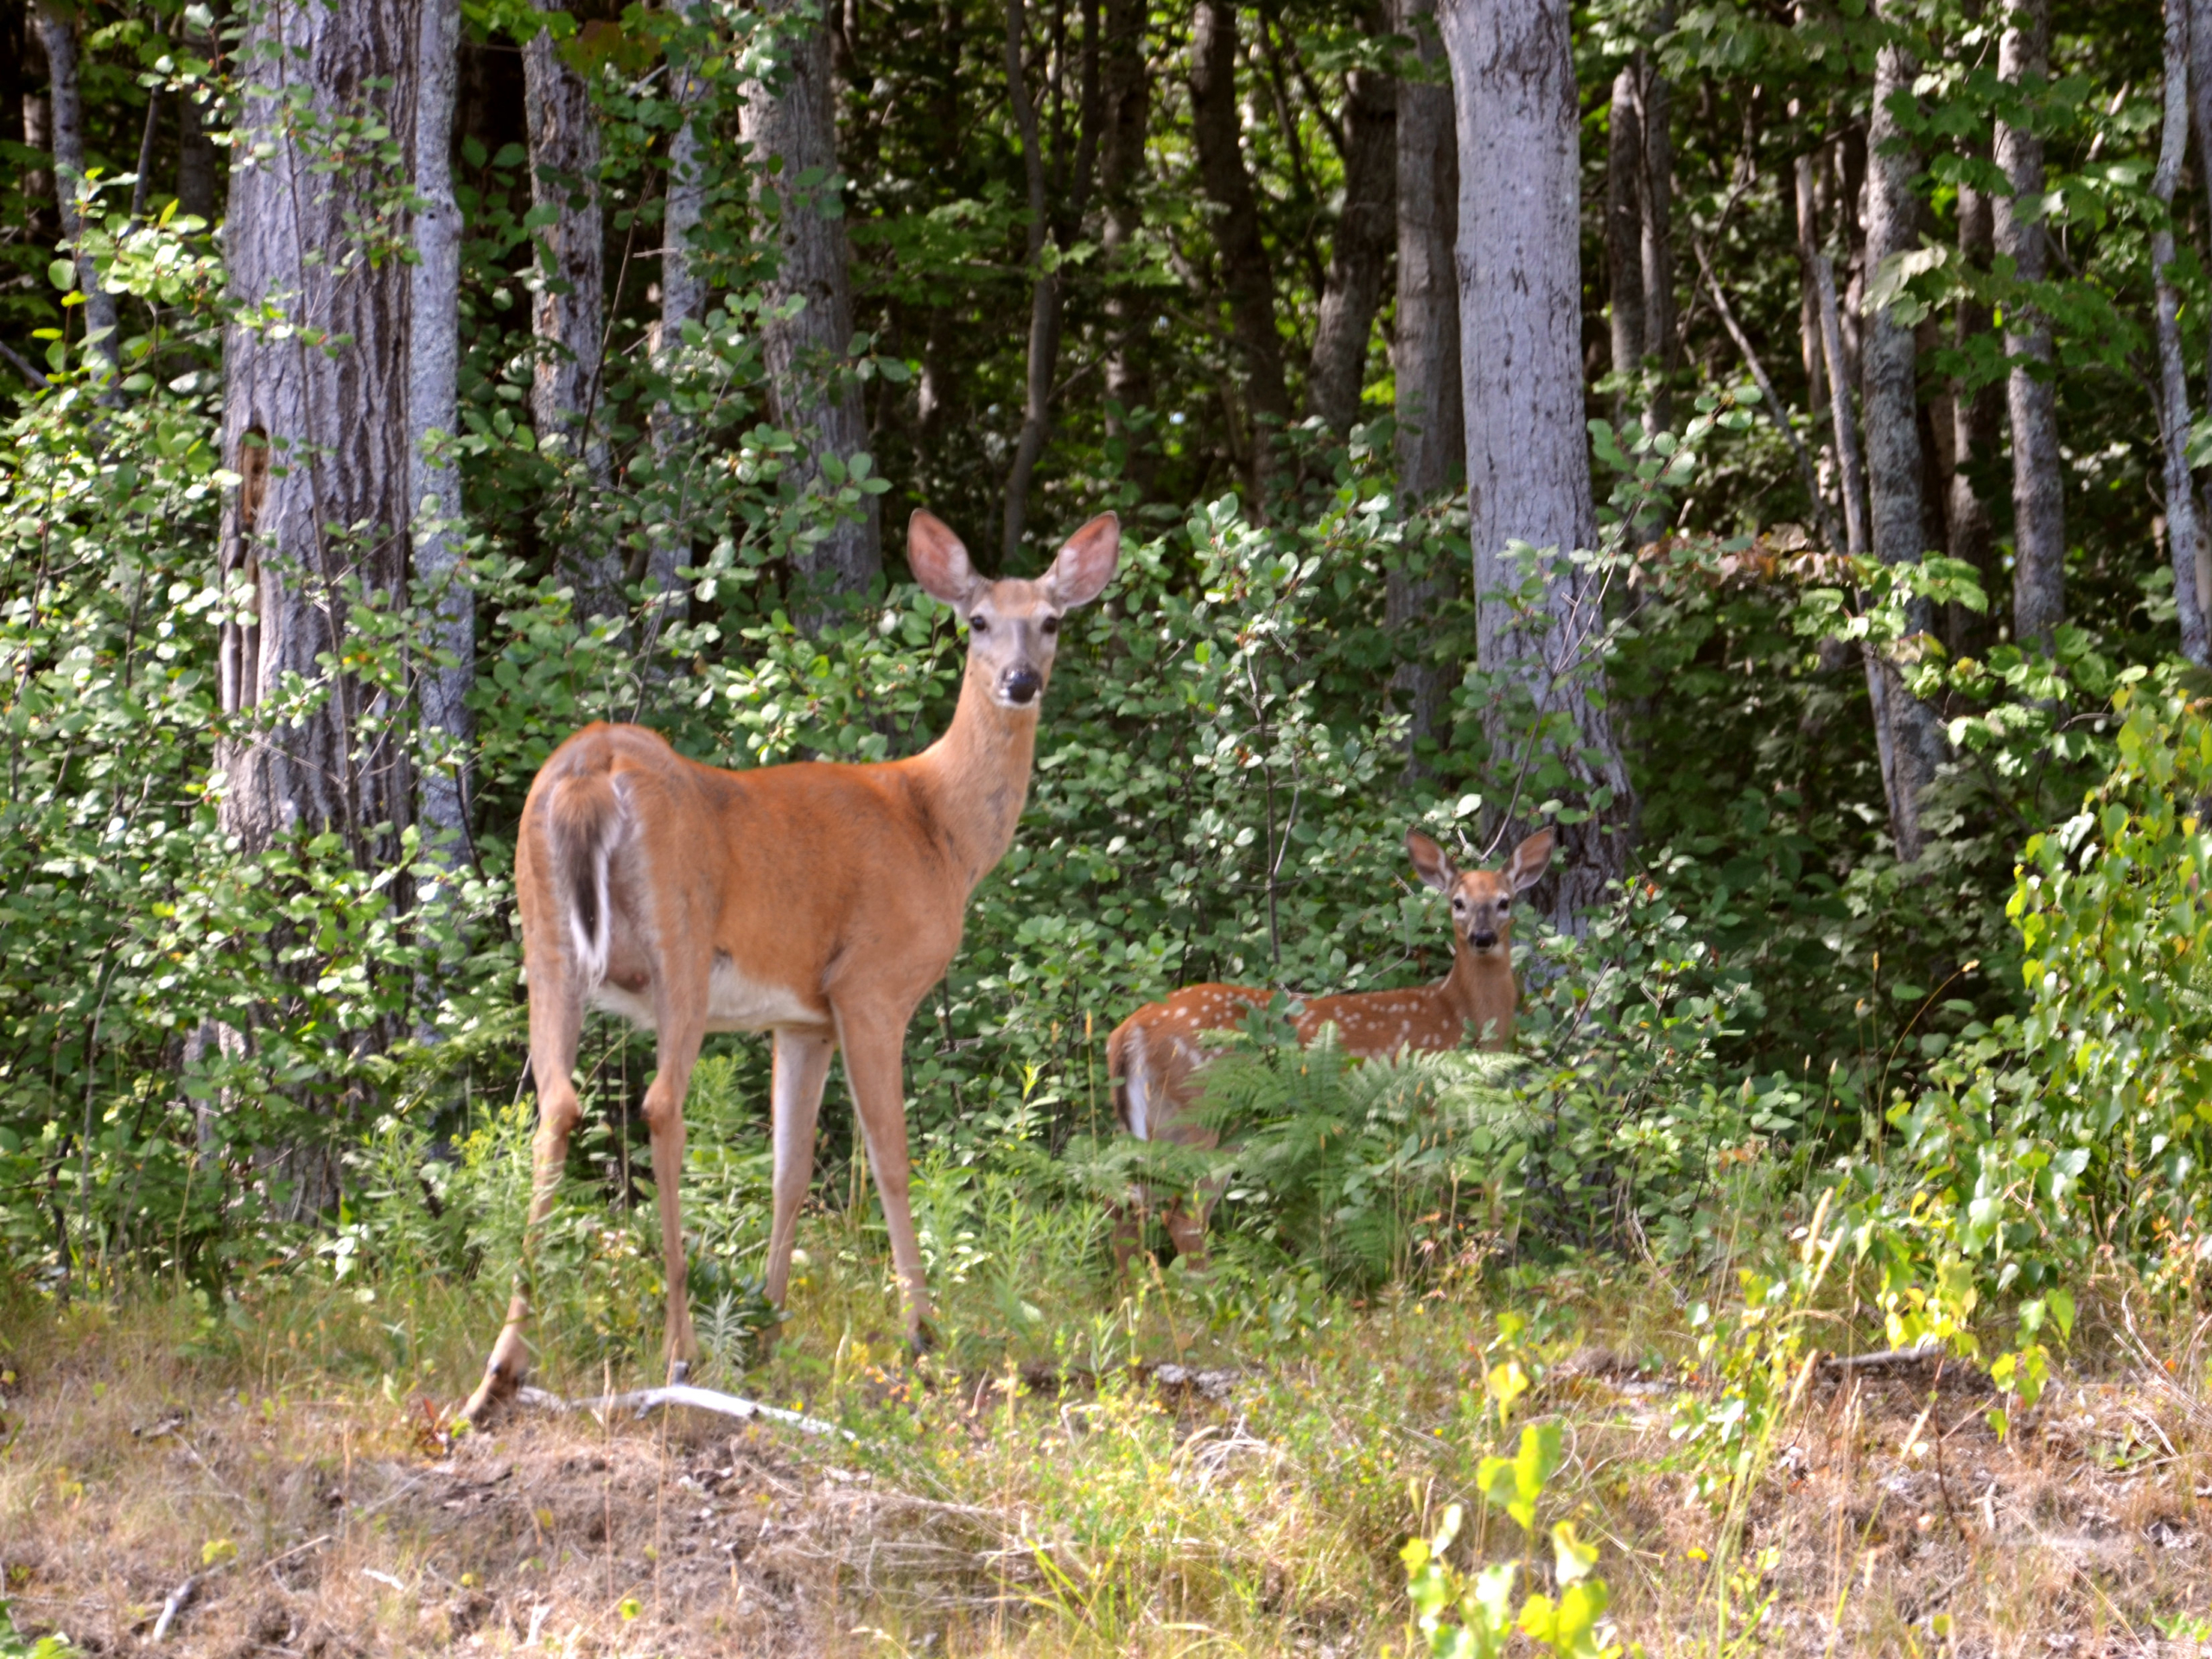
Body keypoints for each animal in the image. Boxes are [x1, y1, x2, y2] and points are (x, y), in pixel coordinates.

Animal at [455, 511, 1115, 1433]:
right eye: (978, 621)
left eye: (1051, 620)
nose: (1020, 680)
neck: (939, 830)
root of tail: (592, 772)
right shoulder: (871, 986)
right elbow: (890, 1159)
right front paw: (922, 1330)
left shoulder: (801, 1017)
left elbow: (788, 1169)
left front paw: (768, 1324)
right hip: (681, 947)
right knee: (660, 1106)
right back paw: (679, 1348)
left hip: (545, 945)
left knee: (556, 1105)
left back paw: (502, 1370)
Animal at [1106, 831, 1557, 1274]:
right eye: (1457, 902)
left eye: (1504, 901)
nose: (1483, 938)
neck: (1458, 1014)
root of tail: (1128, 1032)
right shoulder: (1429, 1107)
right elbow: (1437, 1203)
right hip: (1203, 1111)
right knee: (1182, 1215)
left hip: (1152, 1122)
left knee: (1125, 1207)